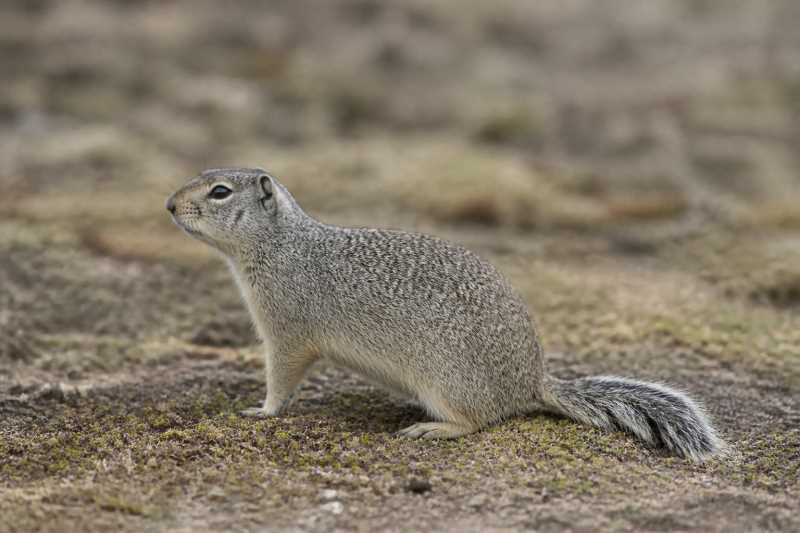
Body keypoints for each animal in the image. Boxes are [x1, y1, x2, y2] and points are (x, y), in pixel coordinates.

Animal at [166, 167, 723, 462]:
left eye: (220, 191)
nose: (170, 205)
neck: (282, 245)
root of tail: (531, 382)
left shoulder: (286, 331)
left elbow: (281, 378)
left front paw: (261, 410)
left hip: (445, 381)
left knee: (478, 421)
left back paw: (431, 430)